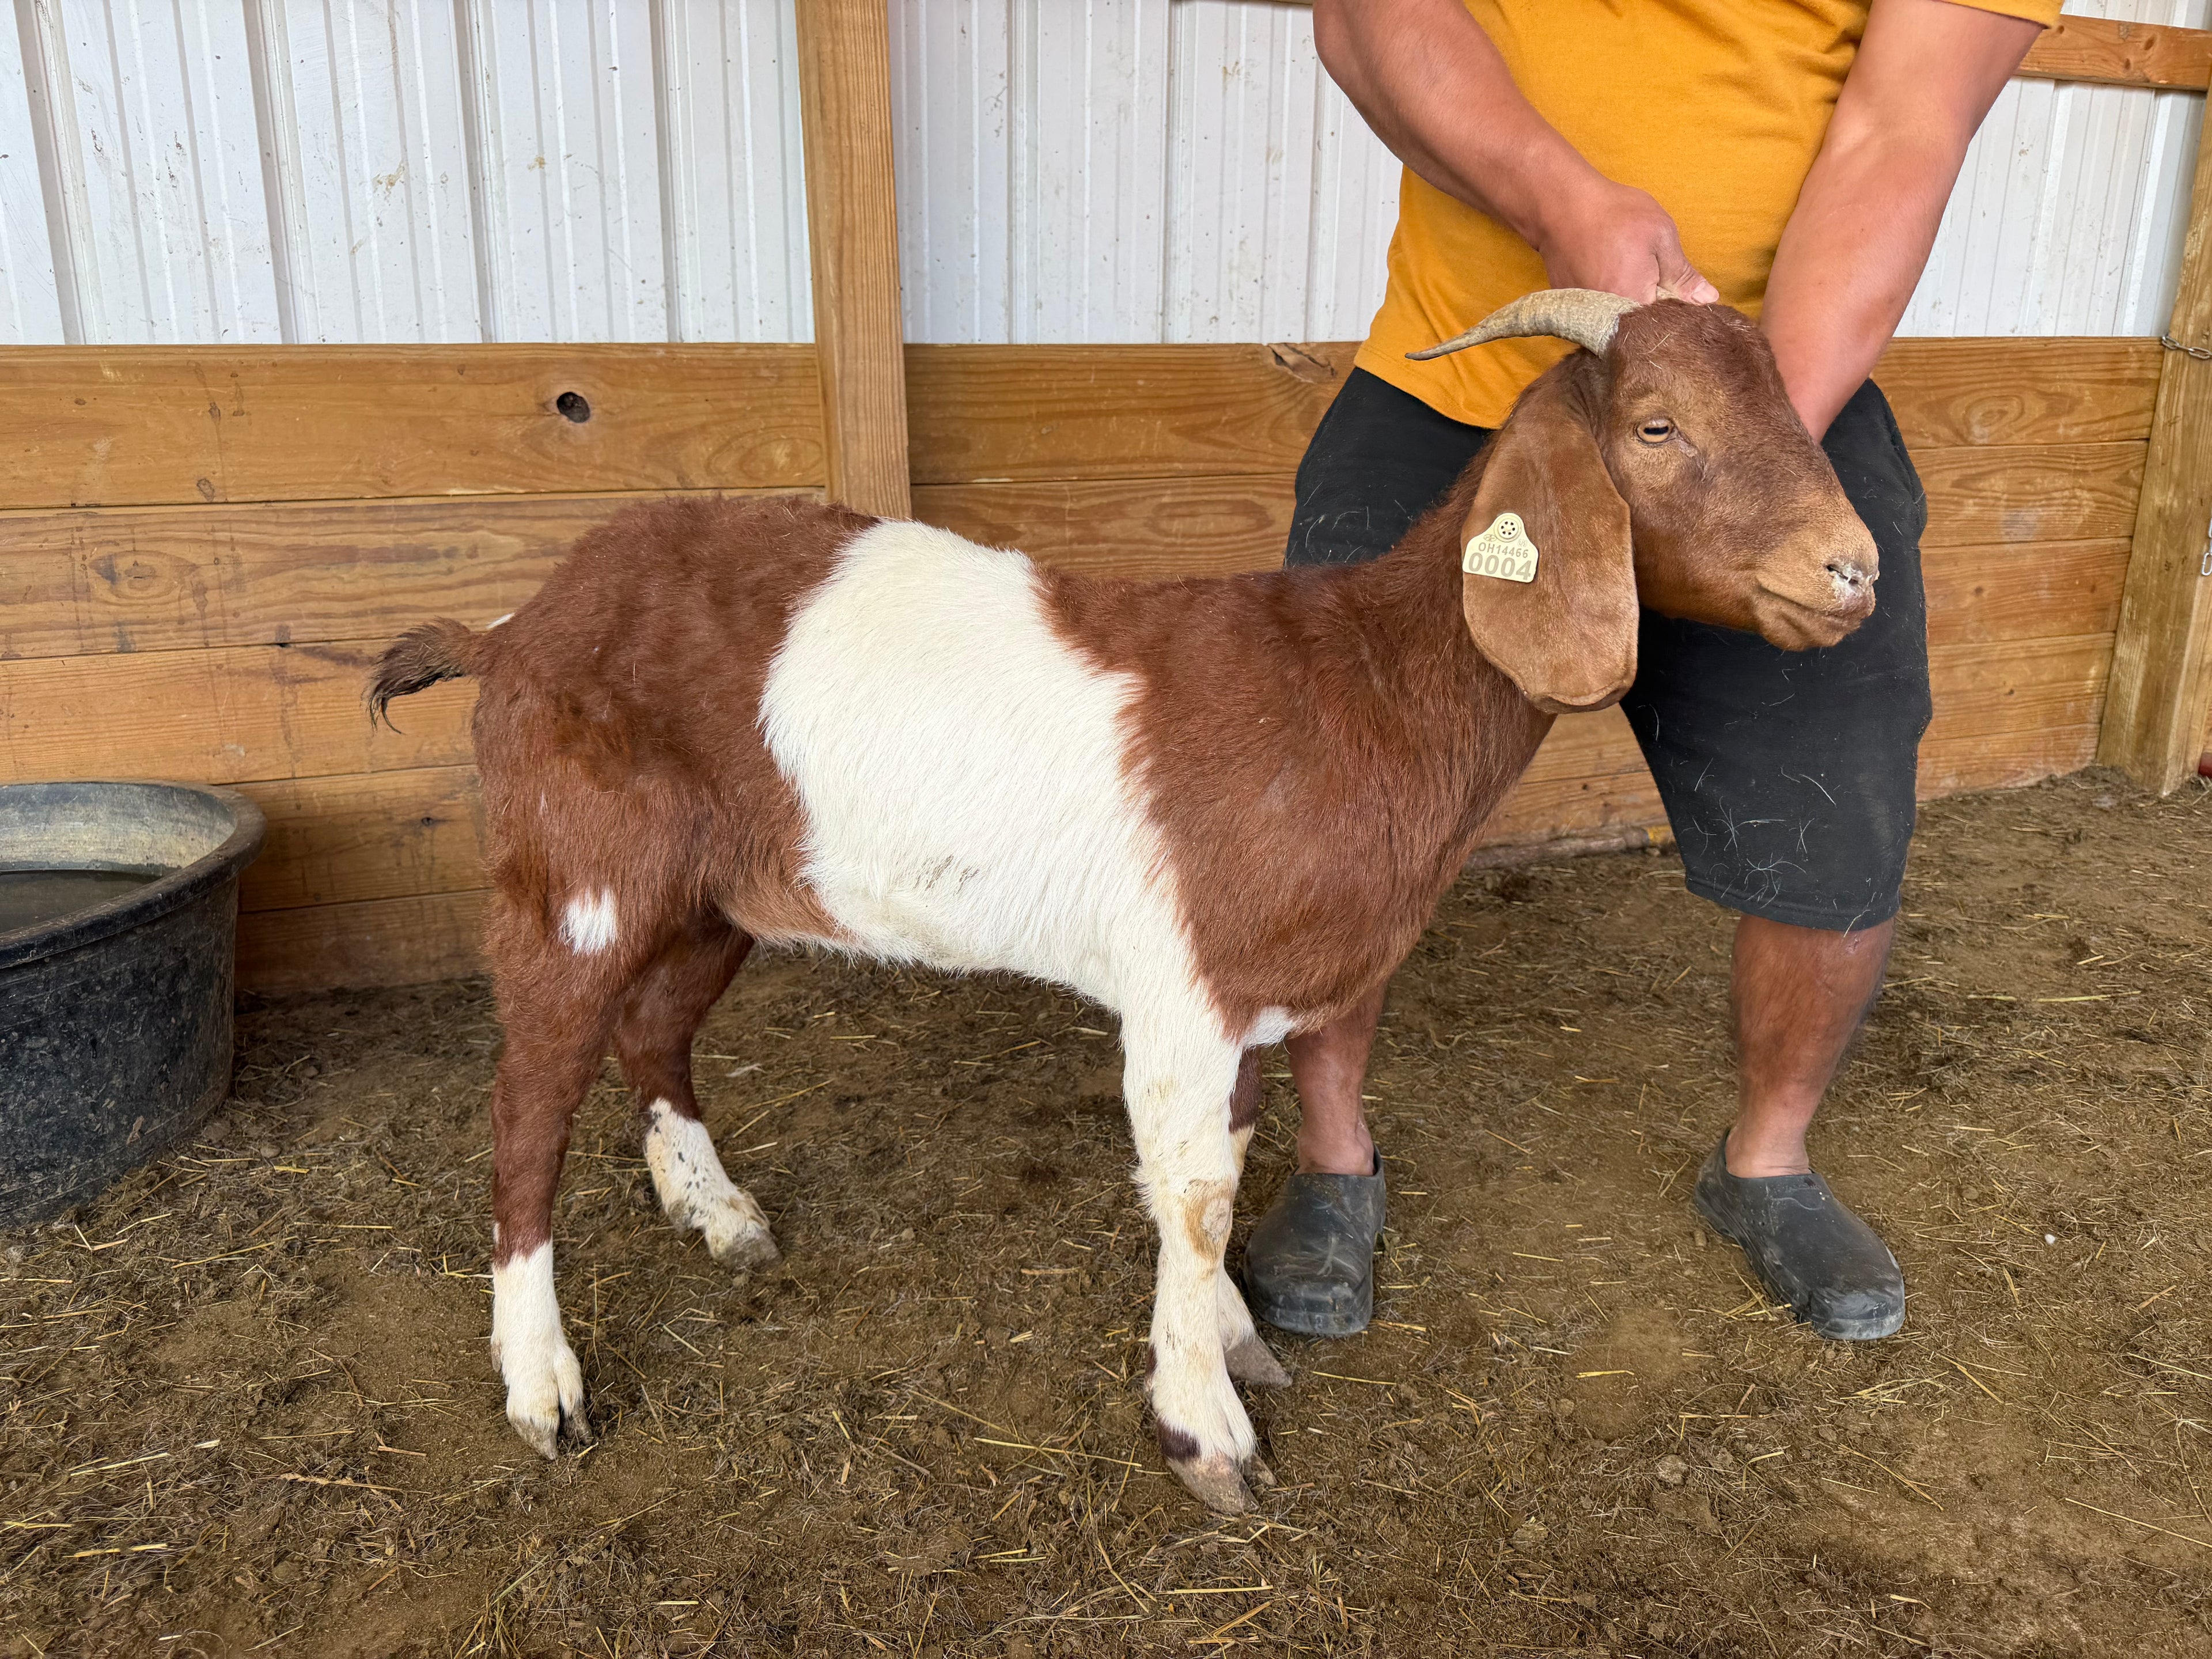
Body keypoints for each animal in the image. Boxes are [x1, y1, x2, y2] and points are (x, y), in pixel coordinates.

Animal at [369, 292, 1878, 1514]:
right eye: (1656, 425)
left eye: (1795, 416)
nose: (1853, 569)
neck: (1361, 686)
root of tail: (512, 626)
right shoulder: (1184, 990)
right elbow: (1194, 1193)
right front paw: (1205, 1431)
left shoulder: (1247, 997)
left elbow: (1230, 1158)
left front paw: (1233, 1340)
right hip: (572, 877)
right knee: (526, 1107)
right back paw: (543, 1386)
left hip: (713, 892)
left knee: (653, 1033)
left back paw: (717, 1214)